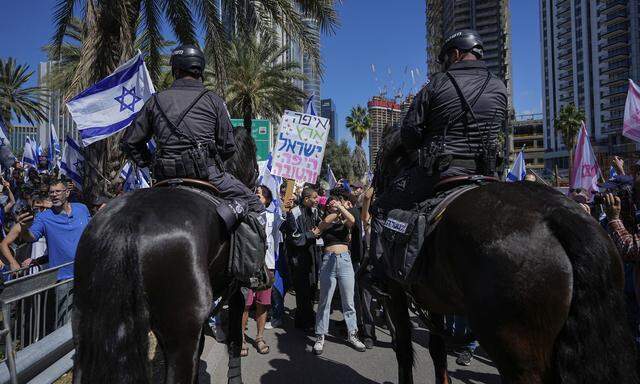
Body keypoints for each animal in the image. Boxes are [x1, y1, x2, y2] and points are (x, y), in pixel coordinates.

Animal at [72, 127, 258, 382]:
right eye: (254, 152)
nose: (256, 180)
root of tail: (128, 221)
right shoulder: (234, 288)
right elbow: (234, 338)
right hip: (182, 327)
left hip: (89, 326)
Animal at [372, 127, 636, 384]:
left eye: (381, 159)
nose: (375, 188)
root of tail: (558, 214)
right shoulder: (431, 296)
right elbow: (437, 351)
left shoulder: (395, 290)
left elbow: (404, 349)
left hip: (517, 350)